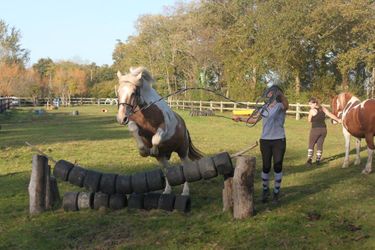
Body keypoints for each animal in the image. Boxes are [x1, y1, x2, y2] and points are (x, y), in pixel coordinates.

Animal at [116, 67, 203, 195]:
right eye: (118, 92)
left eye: (133, 93)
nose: (121, 118)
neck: (148, 111)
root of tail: (185, 128)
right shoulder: (134, 123)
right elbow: (134, 129)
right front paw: (144, 151)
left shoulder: (164, 127)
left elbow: (156, 138)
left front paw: (153, 150)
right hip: (162, 158)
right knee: (167, 170)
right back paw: (167, 191)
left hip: (182, 151)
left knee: (185, 168)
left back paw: (185, 192)